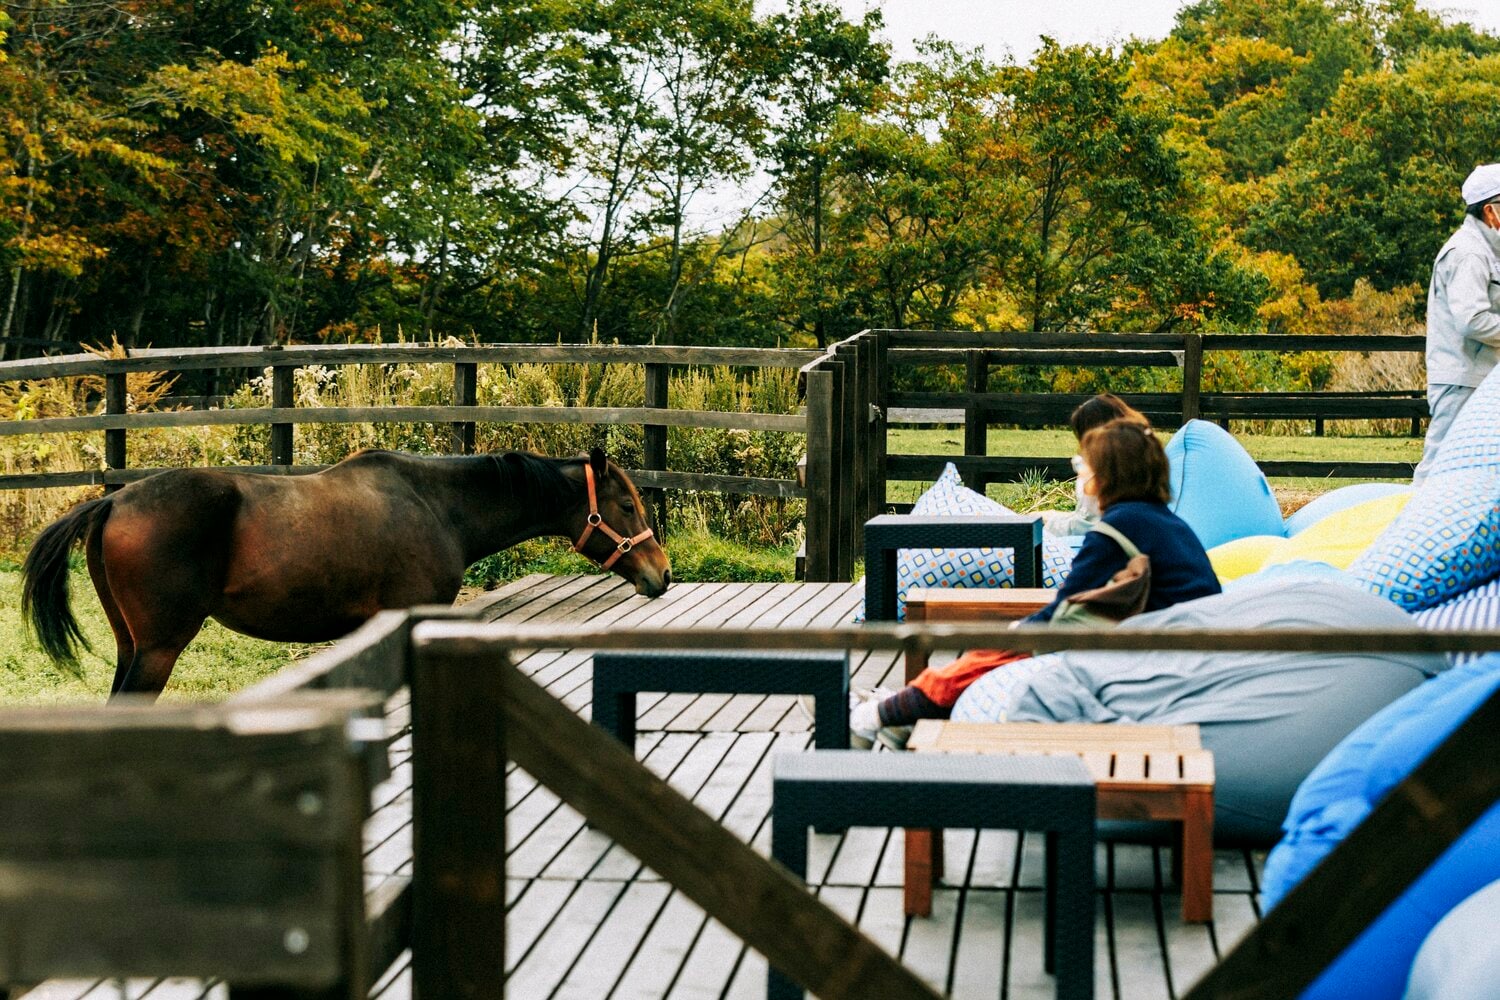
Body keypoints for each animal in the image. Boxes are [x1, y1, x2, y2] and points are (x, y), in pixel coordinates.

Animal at [22, 446, 671, 699]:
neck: (438, 504)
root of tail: (113, 501)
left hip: (131, 645)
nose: (661, 574)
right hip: (158, 648)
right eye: (628, 505)